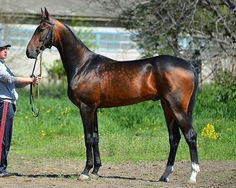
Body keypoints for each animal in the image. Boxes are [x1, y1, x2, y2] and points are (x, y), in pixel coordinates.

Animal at [25, 8, 199, 183]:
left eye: (41, 28)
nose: (29, 52)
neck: (83, 65)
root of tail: (189, 66)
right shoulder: (94, 108)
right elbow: (96, 137)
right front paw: (96, 170)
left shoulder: (86, 107)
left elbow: (88, 137)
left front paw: (85, 171)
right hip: (167, 107)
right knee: (174, 138)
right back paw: (165, 175)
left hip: (177, 108)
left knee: (190, 135)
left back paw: (192, 175)